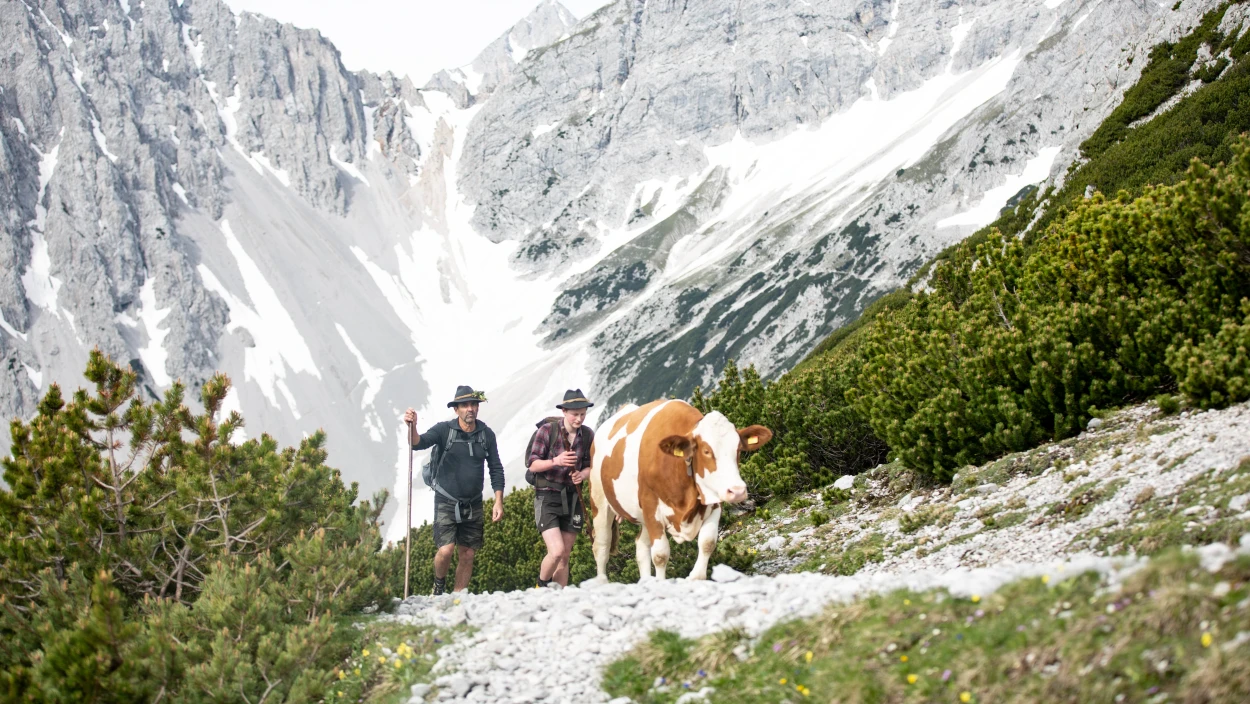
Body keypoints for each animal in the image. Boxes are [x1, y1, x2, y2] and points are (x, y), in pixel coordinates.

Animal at [585, 400, 770, 580]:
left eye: (738, 449)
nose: (737, 491)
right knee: (601, 547)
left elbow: (708, 542)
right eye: (706, 451)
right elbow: (660, 555)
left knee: (640, 545)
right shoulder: (652, 507)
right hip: (599, 502)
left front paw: (696, 577)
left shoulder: (714, 501)